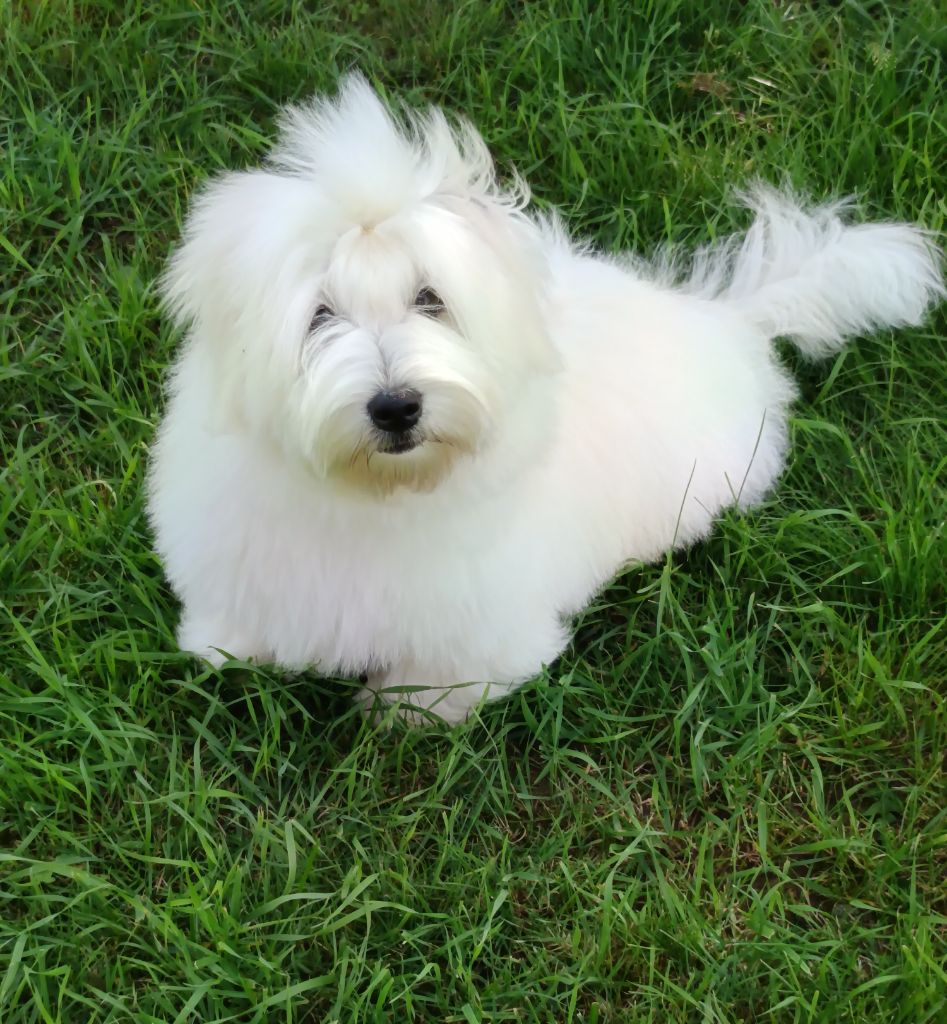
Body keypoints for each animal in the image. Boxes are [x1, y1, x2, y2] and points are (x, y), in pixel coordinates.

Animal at [148, 74, 944, 724]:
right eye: (319, 316)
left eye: (430, 299)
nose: (396, 406)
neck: (378, 491)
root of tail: (725, 316)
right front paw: (221, 646)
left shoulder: (486, 620)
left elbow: (445, 680)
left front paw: (400, 709)